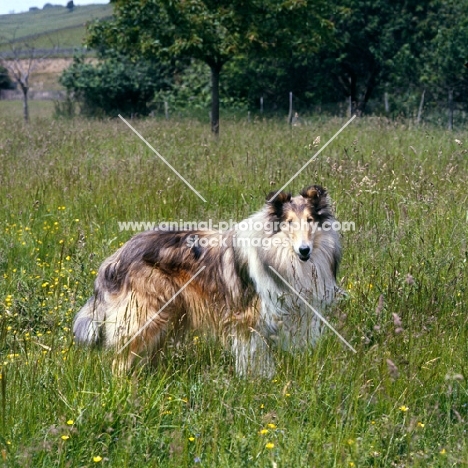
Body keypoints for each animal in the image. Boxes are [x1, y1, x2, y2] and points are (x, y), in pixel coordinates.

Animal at [75, 186, 342, 376]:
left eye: (310, 220)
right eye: (289, 223)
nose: (304, 251)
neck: (279, 254)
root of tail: (117, 256)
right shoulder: (247, 320)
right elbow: (253, 359)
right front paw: (256, 382)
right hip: (147, 314)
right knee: (119, 360)